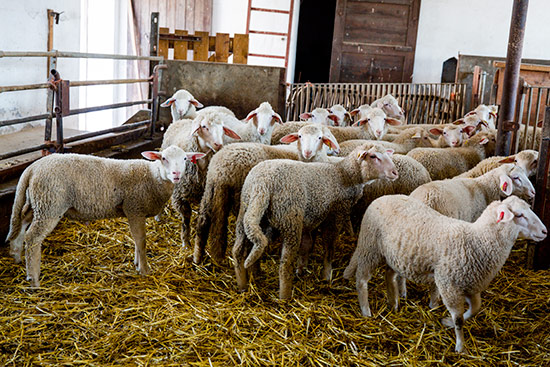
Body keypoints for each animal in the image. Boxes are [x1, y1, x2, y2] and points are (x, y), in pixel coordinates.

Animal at [5, 146, 208, 288]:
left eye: (184, 158)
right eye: (164, 158)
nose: (176, 174)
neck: (153, 176)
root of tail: (33, 167)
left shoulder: (134, 212)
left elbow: (137, 240)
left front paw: (136, 263)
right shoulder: (135, 208)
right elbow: (141, 240)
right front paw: (144, 269)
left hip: (37, 202)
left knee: (21, 222)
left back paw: (16, 254)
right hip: (50, 204)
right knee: (33, 237)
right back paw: (34, 279)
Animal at [194, 124, 340, 264]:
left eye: (320, 137)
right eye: (300, 136)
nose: (308, 152)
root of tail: (219, 170)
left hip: (209, 190)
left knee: (203, 222)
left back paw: (197, 257)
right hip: (234, 194)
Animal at [233, 142, 402, 300]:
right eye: (373, 156)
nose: (395, 173)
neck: (343, 175)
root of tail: (262, 184)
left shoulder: (311, 217)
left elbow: (307, 245)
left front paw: (302, 269)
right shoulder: (335, 215)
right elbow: (329, 245)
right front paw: (326, 275)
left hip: (246, 212)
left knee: (238, 250)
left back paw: (245, 282)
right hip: (290, 219)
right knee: (285, 263)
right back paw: (285, 296)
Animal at [344, 196, 548, 354]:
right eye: (519, 215)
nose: (545, 231)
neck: (476, 241)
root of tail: (380, 198)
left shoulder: (470, 286)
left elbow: (475, 309)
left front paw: (446, 322)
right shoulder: (449, 285)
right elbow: (459, 319)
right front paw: (460, 346)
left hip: (394, 256)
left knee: (389, 275)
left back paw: (393, 303)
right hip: (370, 247)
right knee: (361, 280)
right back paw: (366, 311)